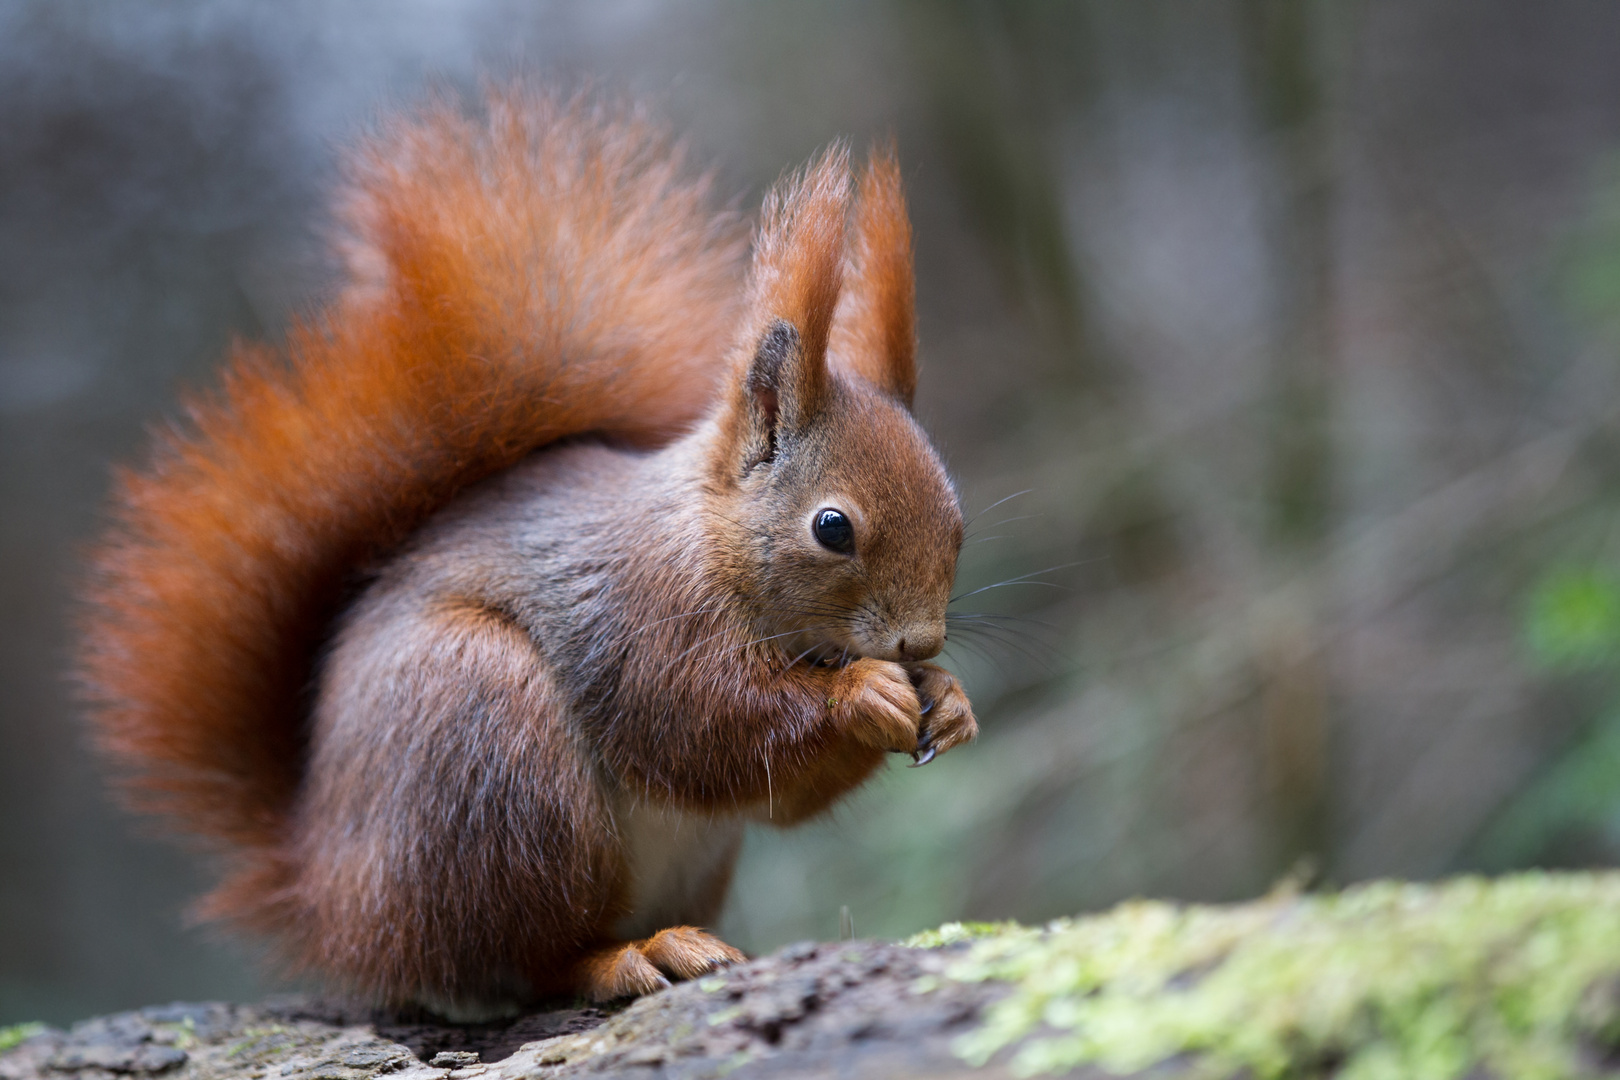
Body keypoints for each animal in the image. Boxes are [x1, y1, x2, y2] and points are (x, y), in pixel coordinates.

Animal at [76, 88, 972, 1016]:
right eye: (832, 528)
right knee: (529, 957)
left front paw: (948, 699)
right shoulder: (640, 617)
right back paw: (633, 955)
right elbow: (703, 726)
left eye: (959, 519)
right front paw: (864, 692)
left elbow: (779, 799)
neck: (710, 542)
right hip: (490, 749)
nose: (919, 642)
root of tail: (329, 898)